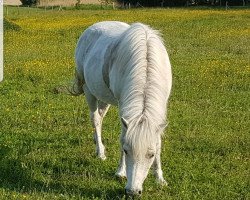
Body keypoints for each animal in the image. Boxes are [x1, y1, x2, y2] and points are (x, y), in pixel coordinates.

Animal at [72, 21, 172, 196]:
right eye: (126, 151)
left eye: (151, 154)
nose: (133, 192)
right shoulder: (123, 109)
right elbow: (123, 136)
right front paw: (121, 172)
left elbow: (158, 141)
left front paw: (160, 178)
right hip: (89, 91)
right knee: (95, 119)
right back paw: (100, 152)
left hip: (104, 97)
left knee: (100, 117)